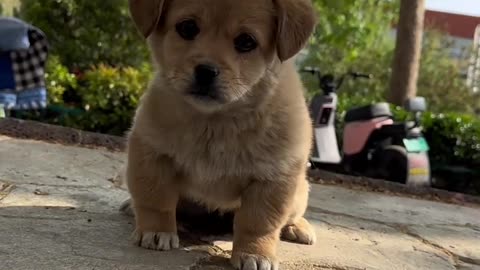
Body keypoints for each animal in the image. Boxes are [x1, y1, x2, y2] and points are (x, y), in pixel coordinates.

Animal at [125, 1, 316, 268]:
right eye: (187, 27)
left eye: (246, 41)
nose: (206, 71)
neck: (217, 122)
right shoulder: (151, 151)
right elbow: (156, 200)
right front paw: (156, 231)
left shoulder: (274, 177)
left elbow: (259, 224)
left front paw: (255, 253)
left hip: (300, 192)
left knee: (290, 216)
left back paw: (298, 227)